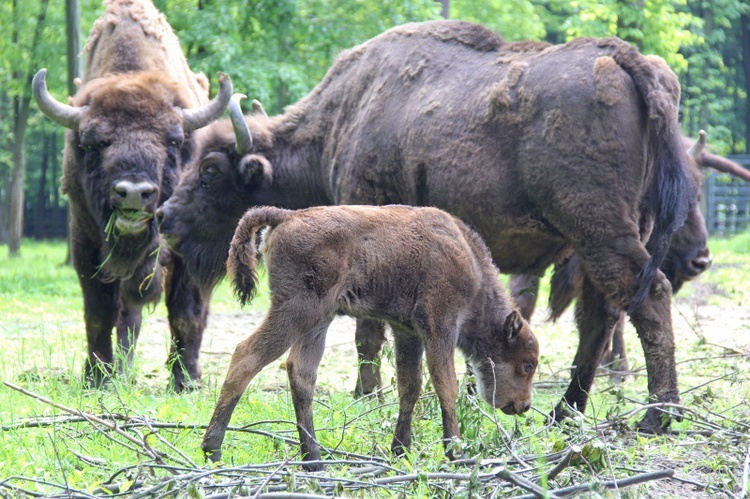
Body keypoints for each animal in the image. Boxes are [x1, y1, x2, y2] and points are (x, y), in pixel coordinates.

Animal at [32, 0, 232, 390]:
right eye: (91, 143)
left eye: (174, 141)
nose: (134, 193)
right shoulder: (85, 245)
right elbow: (100, 311)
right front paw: (98, 376)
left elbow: (180, 310)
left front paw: (184, 380)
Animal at [157, 18, 700, 434]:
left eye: (210, 173)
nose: (164, 217)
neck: (346, 115)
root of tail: (628, 60)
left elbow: (368, 334)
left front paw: (365, 396)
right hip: (603, 239)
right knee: (602, 316)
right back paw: (566, 413)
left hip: (598, 230)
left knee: (648, 298)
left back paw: (658, 416)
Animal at [201, 205, 540, 470]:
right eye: (527, 364)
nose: (523, 405)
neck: (469, 263)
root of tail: (288, 216)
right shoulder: (439, 327)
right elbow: (446, 386)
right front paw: (454, 452)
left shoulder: (407, 333)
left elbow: (410, 386)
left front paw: (400, 450)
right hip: (297, 311)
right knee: (246, 355)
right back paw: (212, 451)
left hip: (319, 321)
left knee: (301, 373)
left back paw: (314, 461)